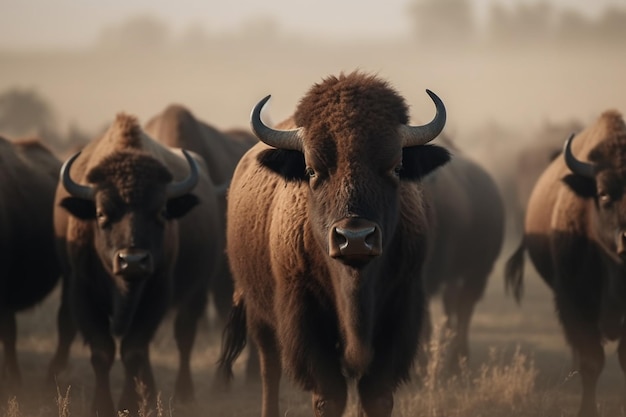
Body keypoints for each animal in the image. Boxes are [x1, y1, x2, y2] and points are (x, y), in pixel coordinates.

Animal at [46, 113, 222, 416]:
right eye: (101, 213)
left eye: (161, 211)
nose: (133, 261)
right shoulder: (82, 291)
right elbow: (102, 351)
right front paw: (102, 406)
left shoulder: (158, 292)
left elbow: (133, 350)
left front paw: (130, 403)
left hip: (196, 293)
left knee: (184, 337)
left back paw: (184, 393)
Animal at [216, 71, 448, 416]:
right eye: (312, 170)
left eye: (396, 167)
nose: (355, 239)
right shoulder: (304, 317)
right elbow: (330, 395)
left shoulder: (401, 310)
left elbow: (376, 395)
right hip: (258, 311)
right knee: (269, 368)